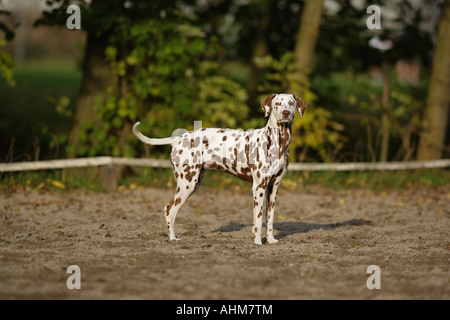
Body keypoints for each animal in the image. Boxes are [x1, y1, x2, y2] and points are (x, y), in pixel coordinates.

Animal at [132, 93, 308, 245]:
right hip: (186, 184)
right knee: (169, 210)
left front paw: (270, 240)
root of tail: (178, 139)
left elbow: (269, 219)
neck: (278, 142)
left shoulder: (273, 188)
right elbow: (258, 219)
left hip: (194, 183)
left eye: (291, 103)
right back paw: (172, 238)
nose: (285, 113)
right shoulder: (258, 187)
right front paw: (258, 242)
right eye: (277, 104)